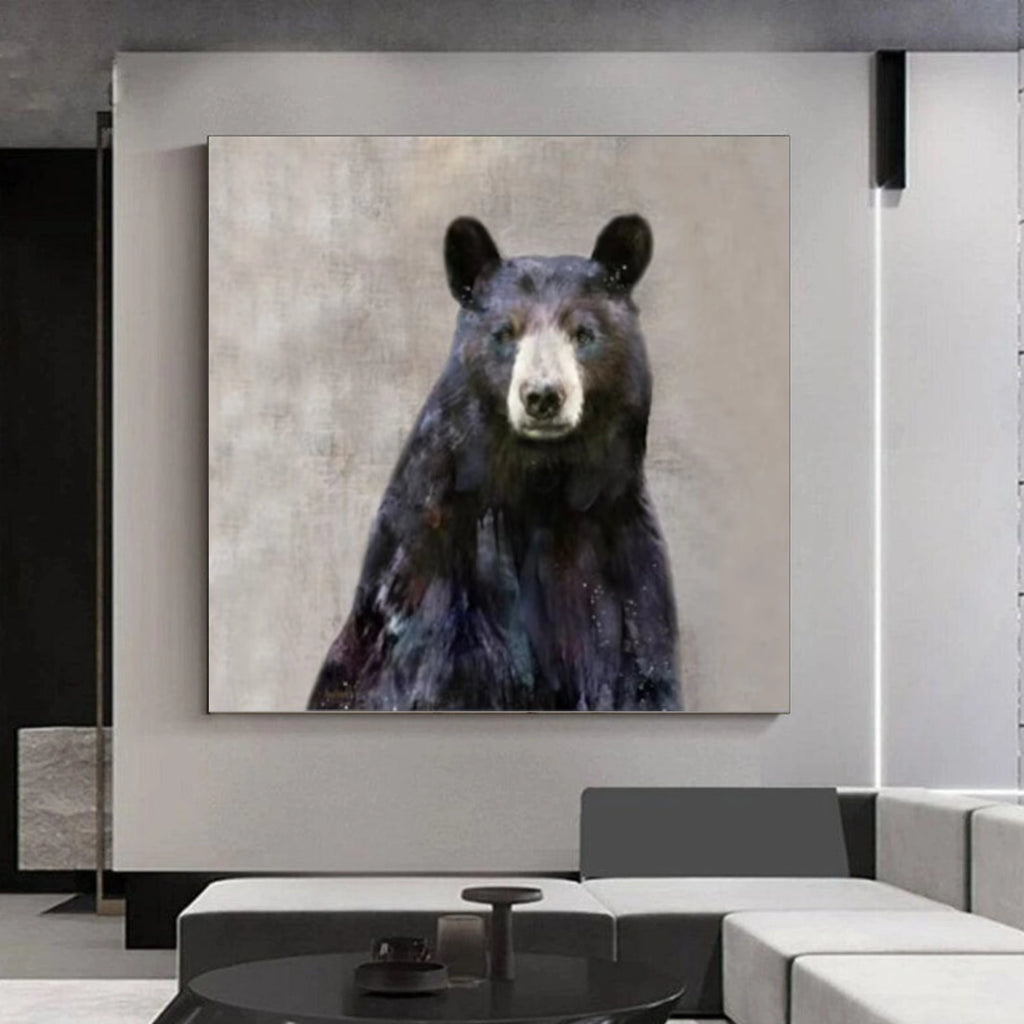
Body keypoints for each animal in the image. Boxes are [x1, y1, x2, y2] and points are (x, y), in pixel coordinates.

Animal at [308, 214, 681, 711]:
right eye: (505, 332)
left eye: (584, 334)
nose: (542, 396)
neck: (541, 485)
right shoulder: (432, 569)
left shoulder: (625, 567)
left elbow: (641, 675)